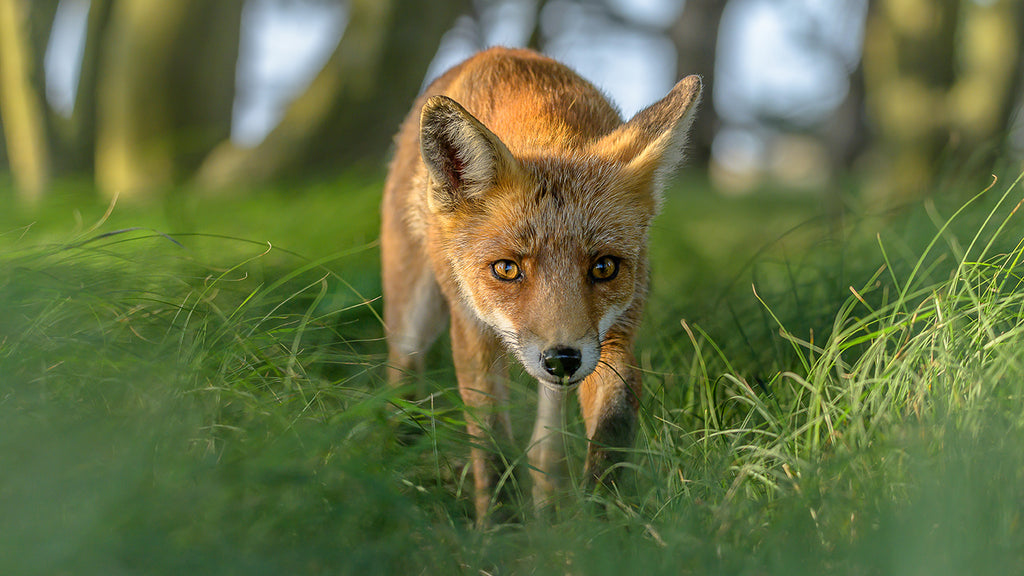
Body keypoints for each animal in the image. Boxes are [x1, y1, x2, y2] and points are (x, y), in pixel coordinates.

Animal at [380, 45, 700, 520]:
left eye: (604, 267)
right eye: (506, 269)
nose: (561, 359)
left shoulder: (616, 333)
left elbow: (614, 424)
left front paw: (602, 517)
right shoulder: (472, 329)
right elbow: (491, 442)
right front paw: (499, 526)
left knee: (543, 446)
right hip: (412, 319)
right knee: (402, 377)